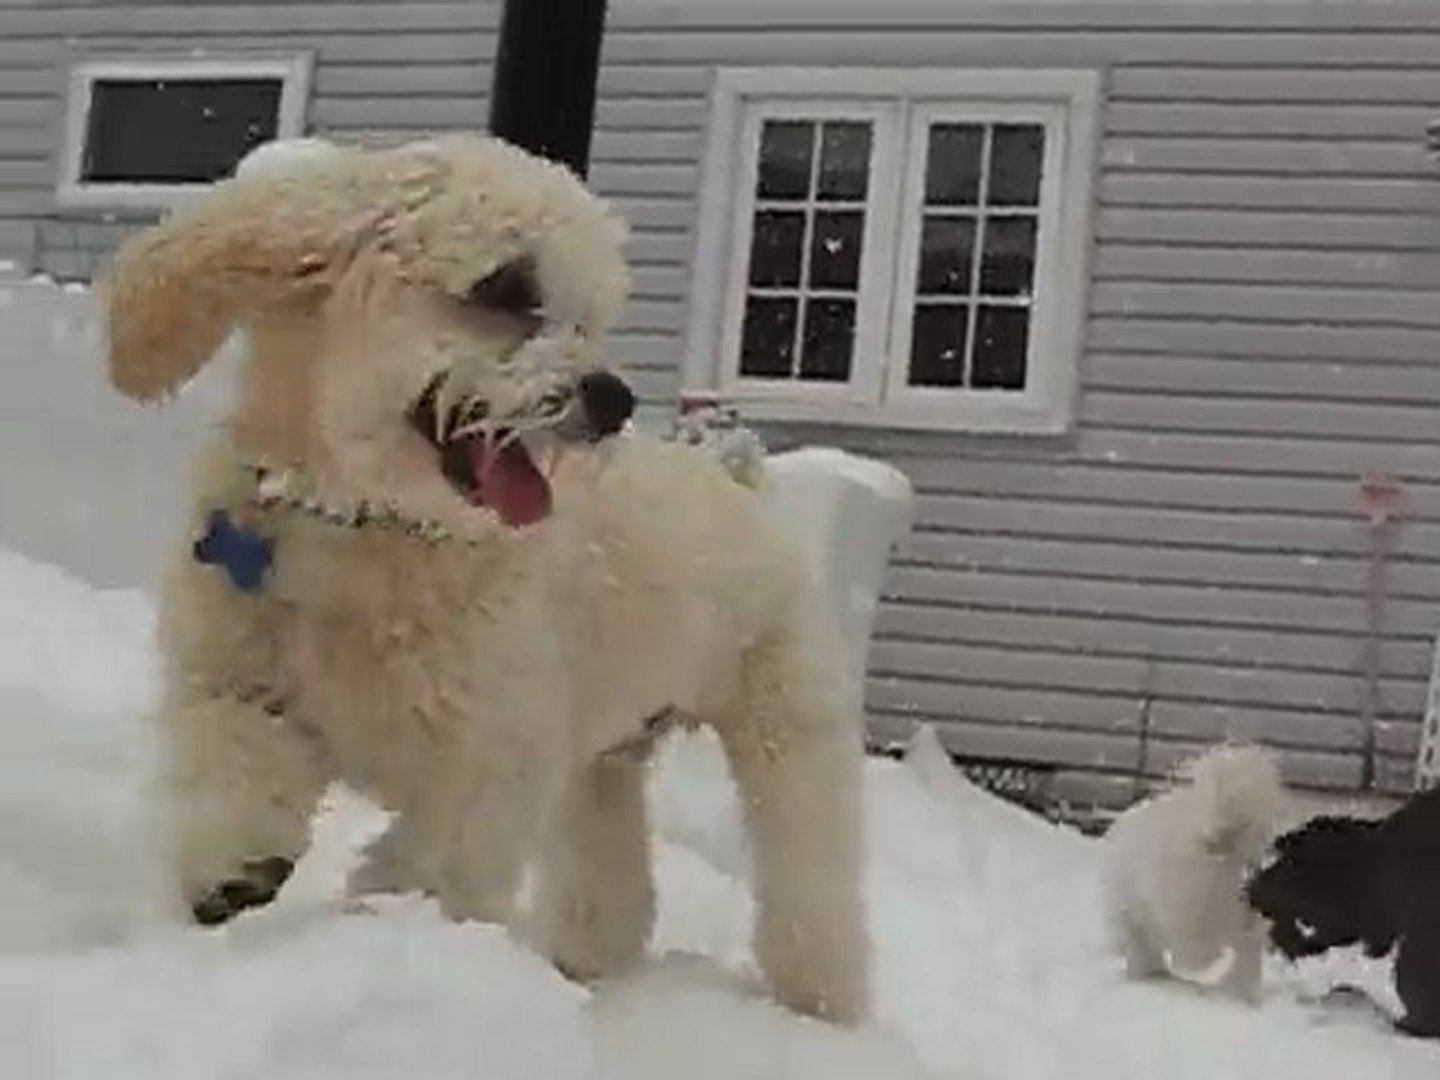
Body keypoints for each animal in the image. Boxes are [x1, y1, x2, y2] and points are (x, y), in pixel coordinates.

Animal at [104, 133, 864, 1025]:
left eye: (589, 318)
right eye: (506, 287)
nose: (612, 397)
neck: (372, 531)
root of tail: (744, 492)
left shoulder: (488, 758)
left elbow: (433, 862)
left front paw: (392, 929)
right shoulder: (234, 671)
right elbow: (235, 755)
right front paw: (235, 867)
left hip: (786, 727)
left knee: (810, 872)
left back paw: (821, 1002)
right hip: (602, 760)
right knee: (610, 870)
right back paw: (586, 958)